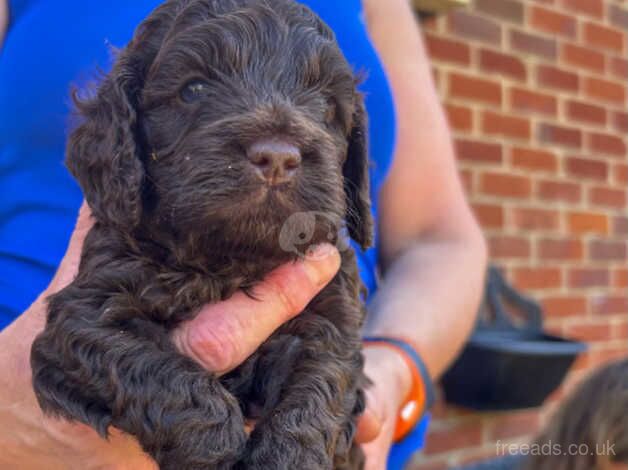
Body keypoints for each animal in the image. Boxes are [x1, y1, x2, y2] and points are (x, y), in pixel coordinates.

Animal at [29, 0, 372, 470]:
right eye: (193, 89)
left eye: (326, 105)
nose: (278, 157)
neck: (229, 260)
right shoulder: (81, 317)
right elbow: (147, 363)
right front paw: (216, 448)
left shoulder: (335, 310)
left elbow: (321, 378)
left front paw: (287, 455)